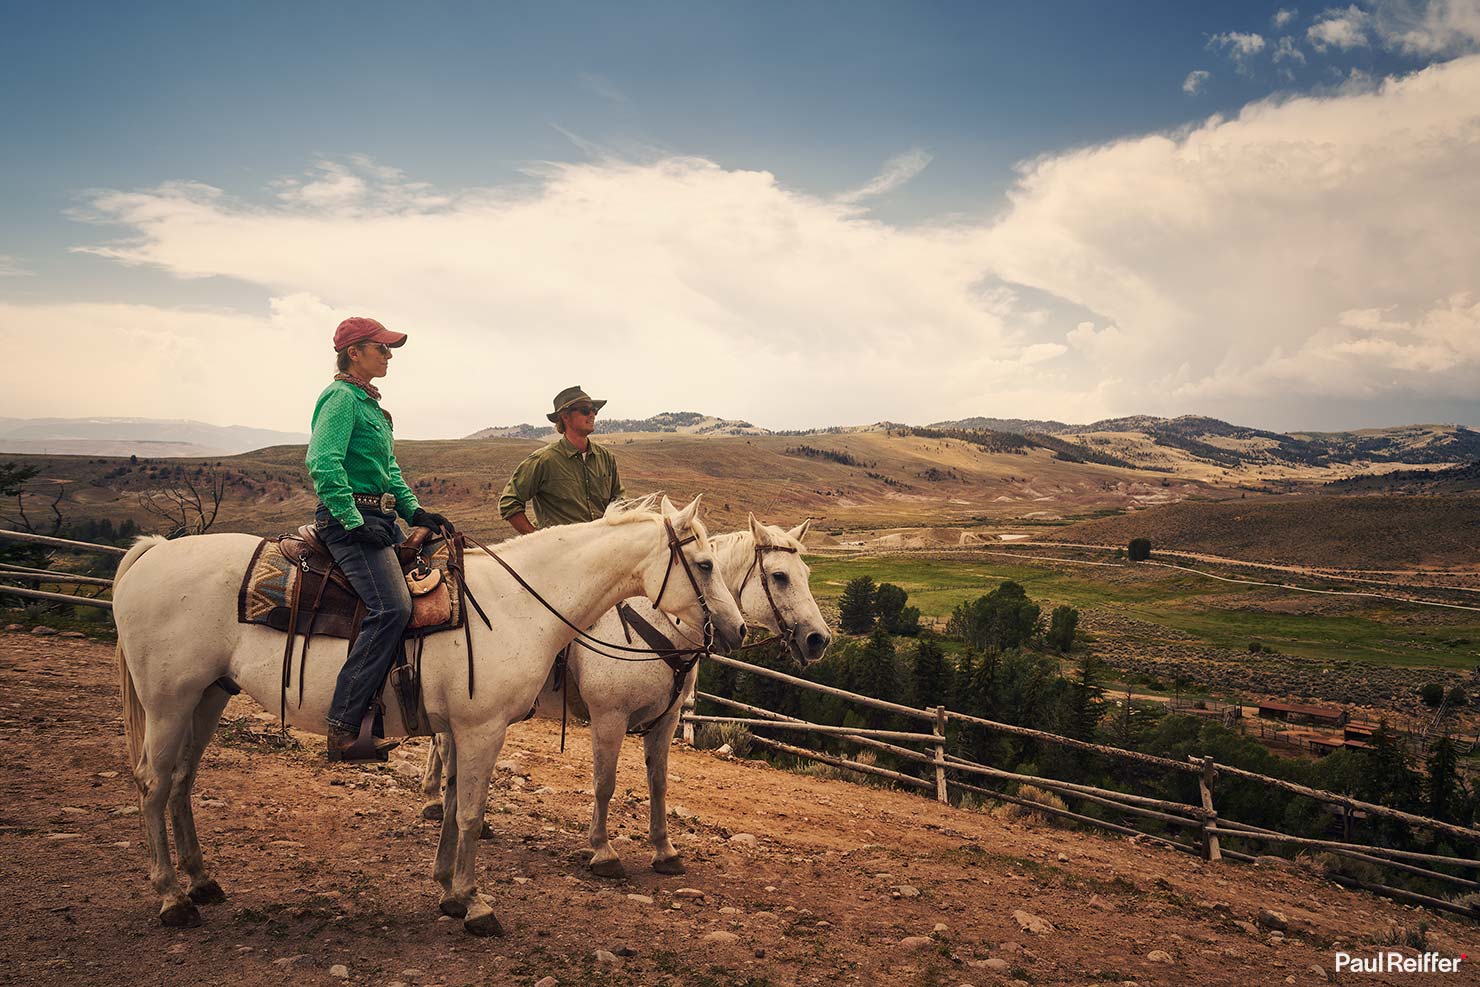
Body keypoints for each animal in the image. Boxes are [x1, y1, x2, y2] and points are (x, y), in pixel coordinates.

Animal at [109, 497, 745, 941]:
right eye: (703, 564)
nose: (736, 629)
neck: (517, 605)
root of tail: (154, 551)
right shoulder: (485, 727)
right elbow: (470, 813)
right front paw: (477, 904)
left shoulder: (463, 728)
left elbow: (456, 803)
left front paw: (450, 892)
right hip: (168, 702)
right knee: (153, 783)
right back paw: (172, 899)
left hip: (208, 697)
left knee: (182, 782)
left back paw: (202, 882)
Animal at [420, 514, 834, 876]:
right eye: (779, 576)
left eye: (807, 574)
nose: (819, 639)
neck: (660, 629)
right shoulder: (609, 717)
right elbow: (605, 783)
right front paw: (603, 851)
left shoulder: (666, 720)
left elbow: (659, 783)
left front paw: (665, 851)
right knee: (444, 746)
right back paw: (436, 803)